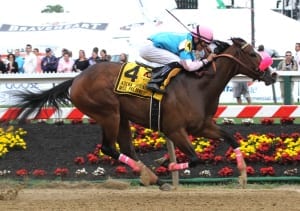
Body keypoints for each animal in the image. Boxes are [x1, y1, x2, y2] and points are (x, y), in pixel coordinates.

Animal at [11, 37, 276, 190]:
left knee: (127, 149)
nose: (272, 74)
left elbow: (231, 138)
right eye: (252, 54)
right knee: (109, 148)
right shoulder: (175, 130)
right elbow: (194, 158)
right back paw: (151, 176)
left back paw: (152, 178)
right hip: (108, 113)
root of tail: (76, 78)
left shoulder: (202, 126)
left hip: (121, 117)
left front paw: (243, 176)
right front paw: (167, 164)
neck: (199, 85)